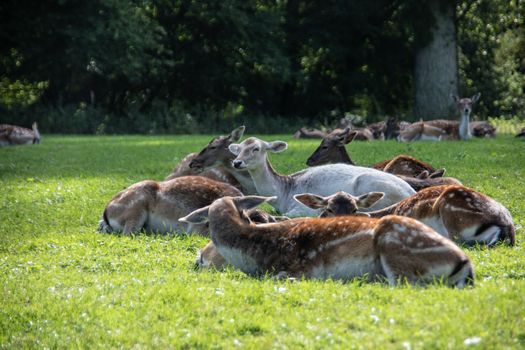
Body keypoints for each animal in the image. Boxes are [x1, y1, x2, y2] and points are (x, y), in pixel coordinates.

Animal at [227, 137, 416, 216]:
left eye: (256, 148)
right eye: (239, 149)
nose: (237, 162)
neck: (282, 194)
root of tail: (411, 193)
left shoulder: (301, 208)